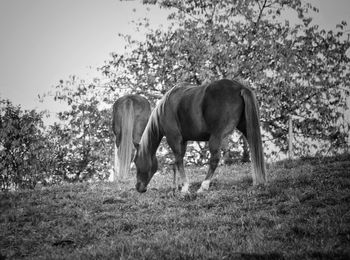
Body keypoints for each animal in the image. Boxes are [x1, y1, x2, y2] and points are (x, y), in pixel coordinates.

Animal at [134, 79, 266, 193]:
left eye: (135, 161)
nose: (138, 187)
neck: (164, 108)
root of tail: (240, 87)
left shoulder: (174, 138)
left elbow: (178, 161)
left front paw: (184, 187)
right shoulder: (183, 141)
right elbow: (177, 161)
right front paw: (176, 187)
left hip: (216, 137)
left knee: (215, 159)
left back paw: (203, 186)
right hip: (247, 129)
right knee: (254, 149)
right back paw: (258, 181)